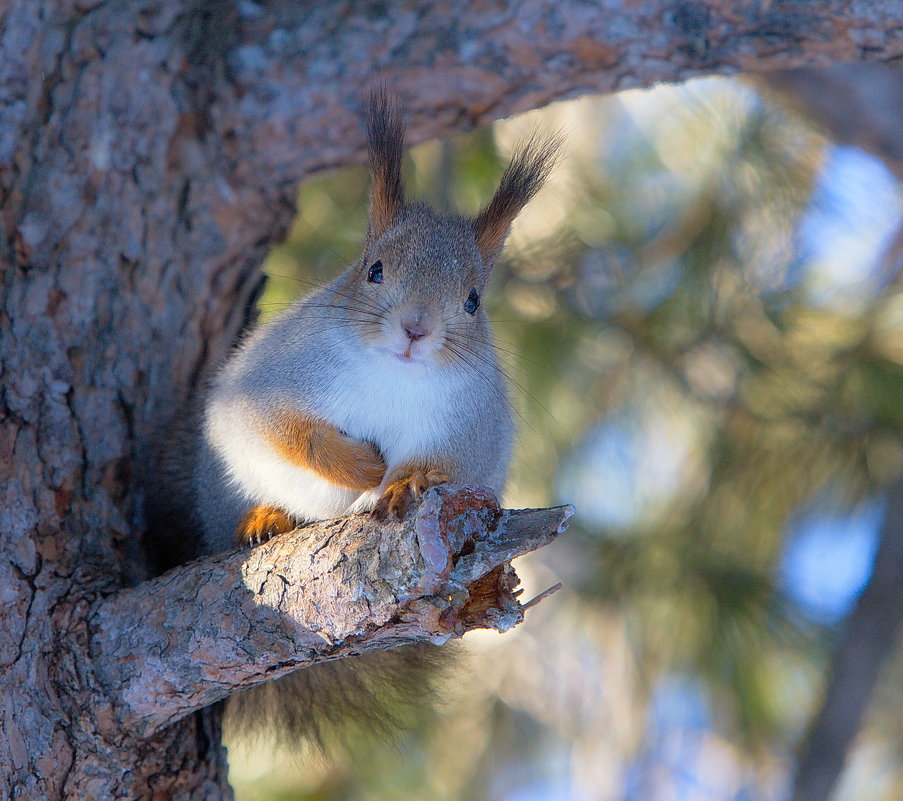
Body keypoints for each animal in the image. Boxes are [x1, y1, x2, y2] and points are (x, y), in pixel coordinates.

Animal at [151, 90, 556, 748]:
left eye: (473, 300)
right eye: (374, 269)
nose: (416, 328)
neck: (394, 376)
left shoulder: (473, 425)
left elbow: (448, 464)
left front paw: (408, 481)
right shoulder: (268, 381)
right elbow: (283, 431)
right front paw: (362, 467)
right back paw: (266, 518)